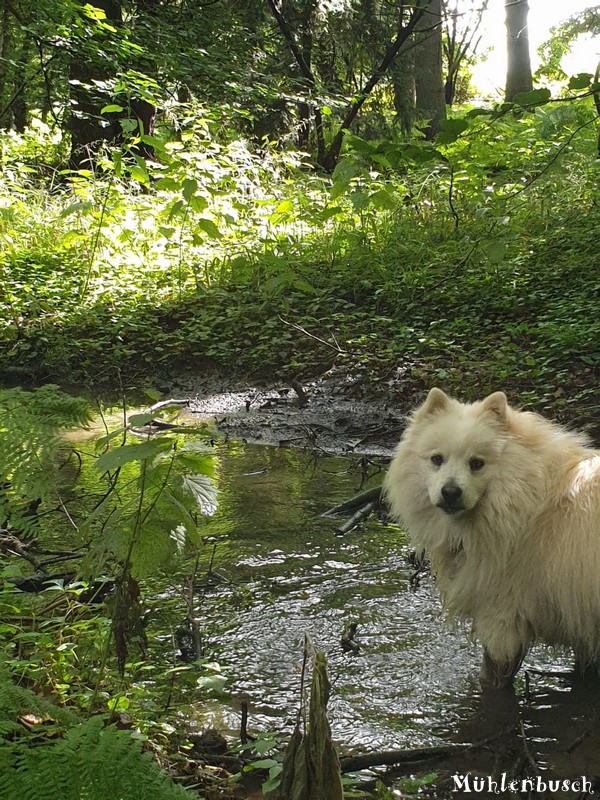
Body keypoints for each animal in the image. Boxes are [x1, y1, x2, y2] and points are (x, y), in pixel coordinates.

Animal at [382, 388, 600, 688]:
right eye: (437, 459)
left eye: (477, 463)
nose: (451, 492)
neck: (528, 502)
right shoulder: (582, 624)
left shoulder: (502, 616)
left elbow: (493, 675)